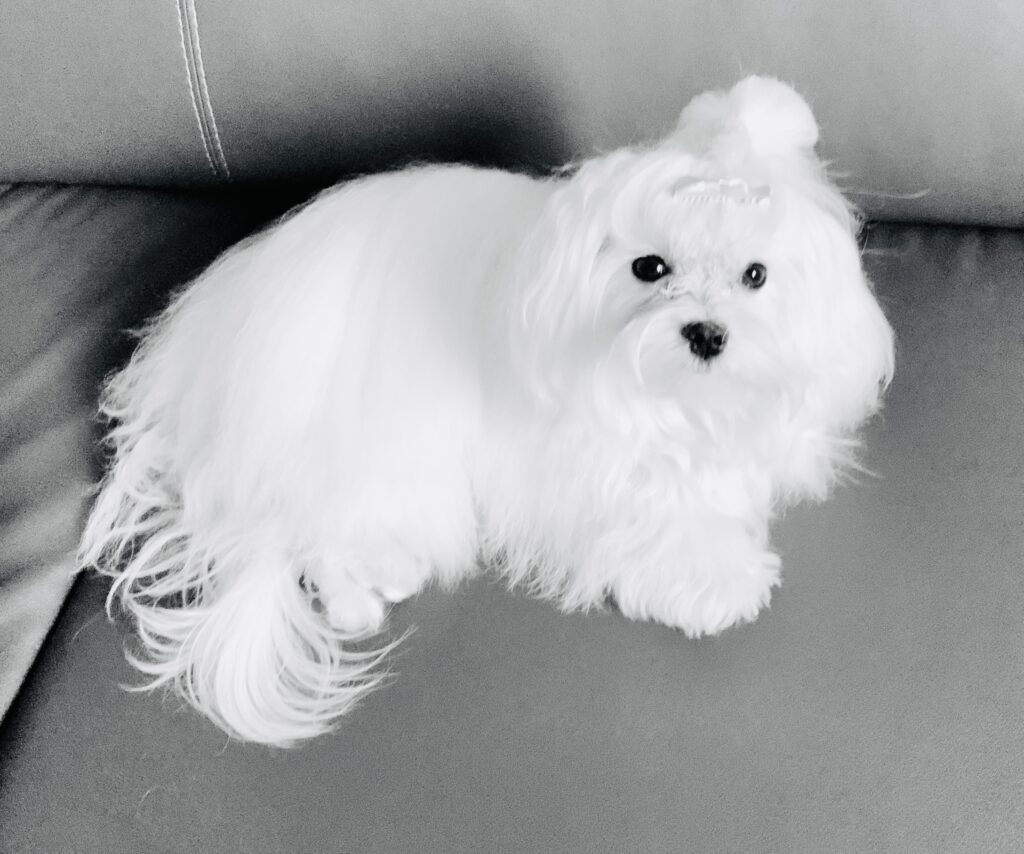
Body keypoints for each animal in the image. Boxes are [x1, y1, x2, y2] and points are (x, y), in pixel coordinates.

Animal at [80, 77, 894, 745]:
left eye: (756, 275)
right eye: (649, 266)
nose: (706, 334)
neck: (677, 401)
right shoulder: (584, 456)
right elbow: (653, 505)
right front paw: (710, 579)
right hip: (372, 430)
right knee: (313, 526)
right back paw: (362, 591)